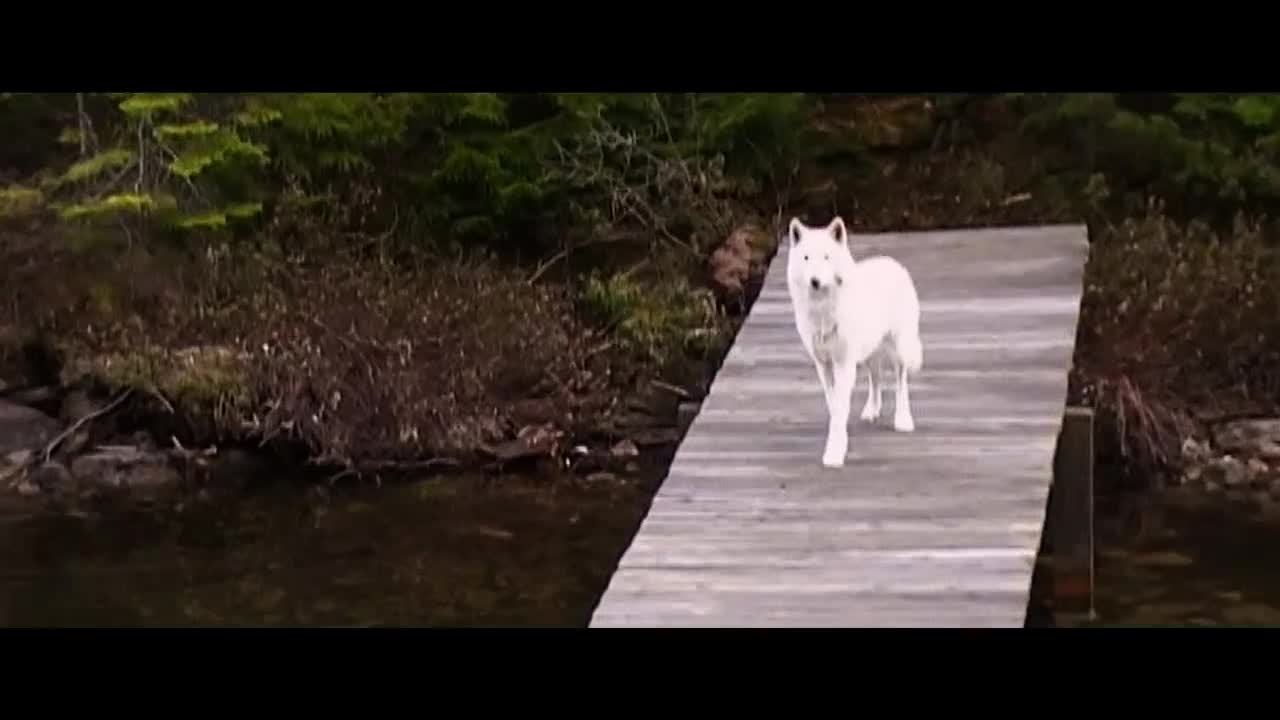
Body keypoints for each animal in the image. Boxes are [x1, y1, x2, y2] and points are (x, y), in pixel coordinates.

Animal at [785, 216, 923, 468]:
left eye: (827, 256)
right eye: (806, 257)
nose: (815, 281)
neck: (823, 311)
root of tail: (893, 263)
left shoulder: (844, 363)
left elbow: (840, 405)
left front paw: (834, 452)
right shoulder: (823, 365)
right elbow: (834, 404)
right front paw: (840, 433)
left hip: (898, 349)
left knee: (901, 382)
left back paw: (903, 420)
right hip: (869, 353)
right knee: (876, 378)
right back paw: (871, 411)